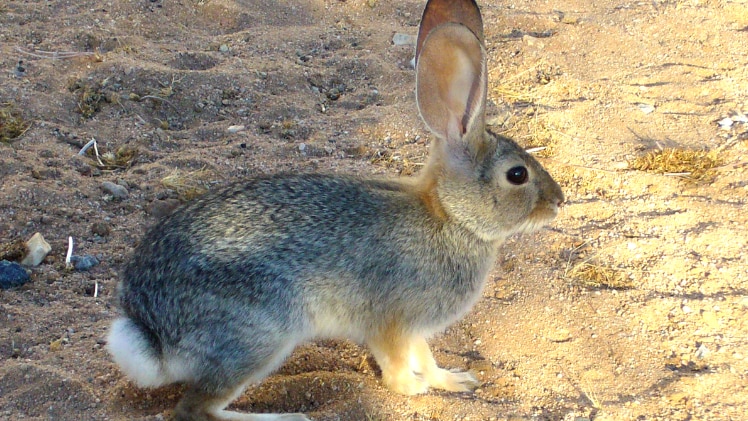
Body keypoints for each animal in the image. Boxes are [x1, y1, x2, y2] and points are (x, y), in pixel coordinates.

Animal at [106, 0, 564, 420]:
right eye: (517, 175)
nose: (559, 201)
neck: (452, 217)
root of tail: (151, 332)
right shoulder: (390, 320)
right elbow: (397, 367)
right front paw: (412, 388)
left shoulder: (415, 328)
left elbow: (427, 356)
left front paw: (454, 380)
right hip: (260, 334)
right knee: (196, 409)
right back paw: (287, 417)